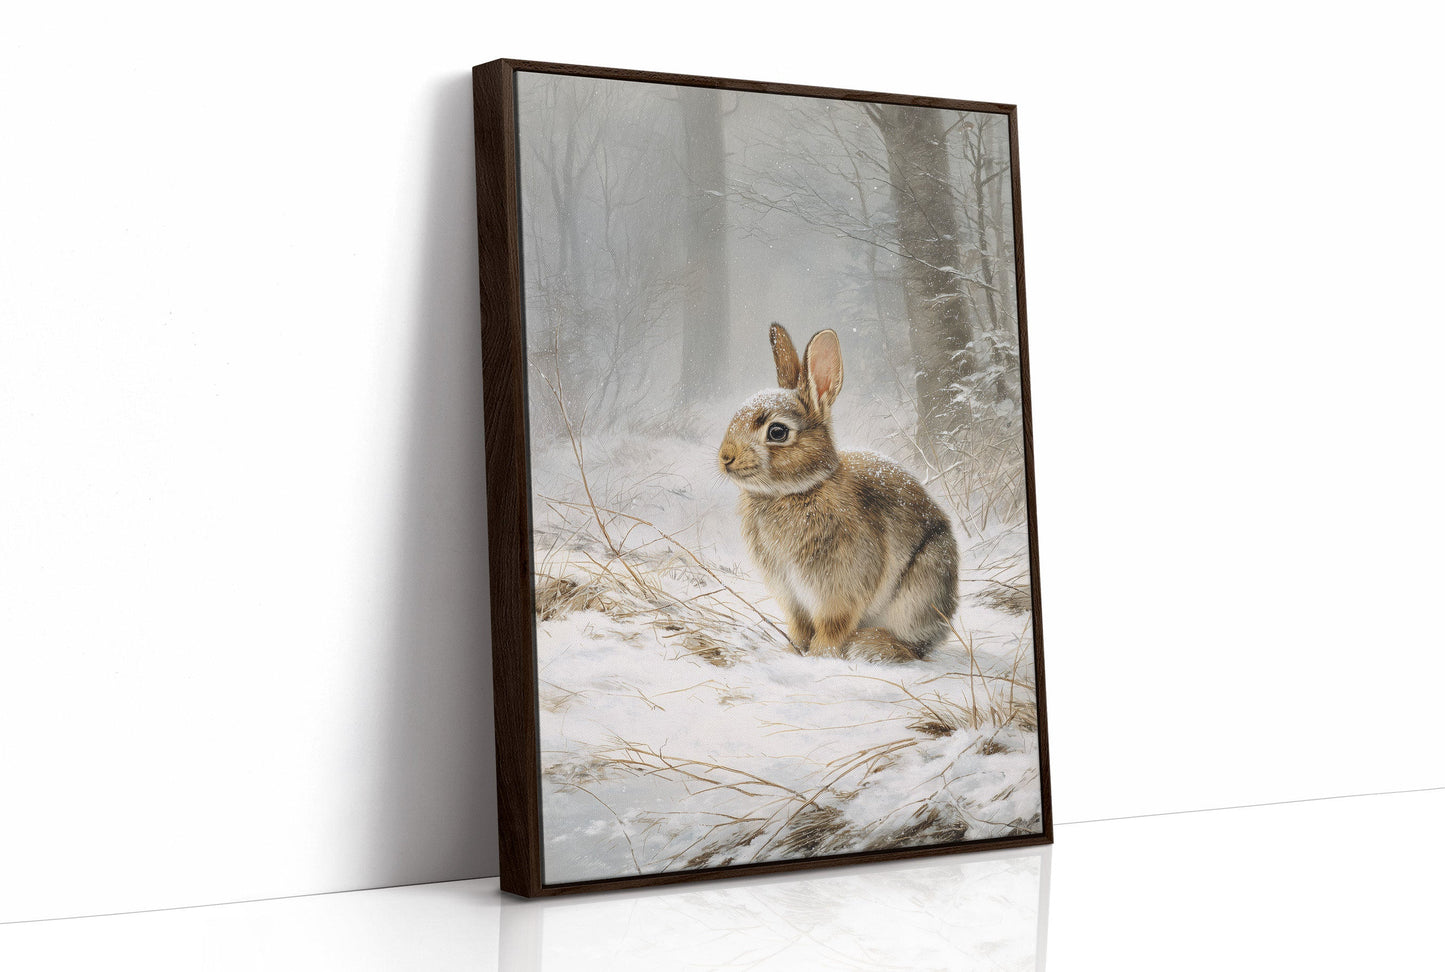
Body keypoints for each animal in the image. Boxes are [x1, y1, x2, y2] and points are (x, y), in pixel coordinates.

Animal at [718, 324, 959, 662]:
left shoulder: (840, 590)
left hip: (922, 586)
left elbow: (831, 626)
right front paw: (792, 651)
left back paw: (870, 645)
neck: (797, 490)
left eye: (777, 432)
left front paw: (821, 656)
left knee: (914, 646)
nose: (725, 457)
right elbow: (799, 626)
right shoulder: (790, 595)